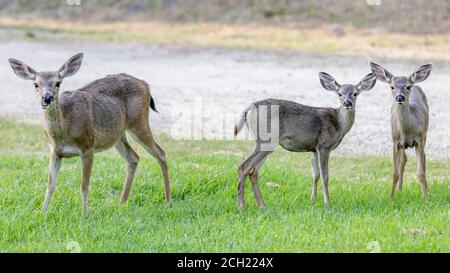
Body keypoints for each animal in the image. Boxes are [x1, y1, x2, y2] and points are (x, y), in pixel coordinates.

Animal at [8, 52, 171, 215]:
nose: (47, 98)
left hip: (139, 122)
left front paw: (84, 215)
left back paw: (168, 201)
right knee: (134, 158)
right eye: (36, 84)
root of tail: (145, 84)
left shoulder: (88, 145)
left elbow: (84, 185)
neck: (64, 129)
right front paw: (43, 213)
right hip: (118, 135)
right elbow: (50, 185)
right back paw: (121, 204)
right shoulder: (55, 151)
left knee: (160, 153)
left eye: (58, 83)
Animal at [234, 71, 378, 207]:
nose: (347, 103)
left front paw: (312, 201)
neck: (338, 123)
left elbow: (315, 175)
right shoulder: (324, 146)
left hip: (265, 143)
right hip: (267, 141)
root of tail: (248, 109)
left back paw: (262, 205)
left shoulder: (313, 149)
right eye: (340, 94)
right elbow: (325, 176)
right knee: (244, 167)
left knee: (253, 171)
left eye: (355, 93)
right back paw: (241, 206)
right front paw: (327, 203)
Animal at [370, 61, 432, 199]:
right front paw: (391, 198)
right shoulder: (395, 142)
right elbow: (395, 173)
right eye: (392, 87)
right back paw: (400, 190)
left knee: (424, 159)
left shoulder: (419, 140)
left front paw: (426, 198)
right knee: (404, 160)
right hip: (403, 144)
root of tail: (416, 84)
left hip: (425, 135)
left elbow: (420, 173)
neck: (406, 131)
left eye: (408, 87)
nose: (400, 97)